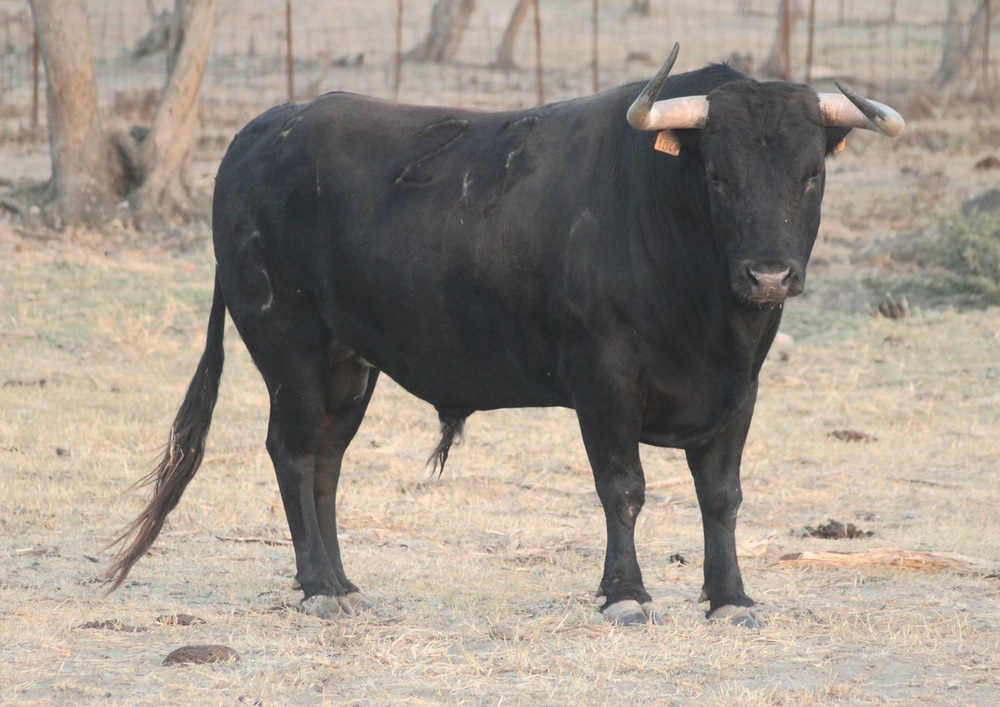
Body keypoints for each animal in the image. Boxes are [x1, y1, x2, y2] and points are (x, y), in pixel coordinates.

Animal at [105, 47, 904, 628]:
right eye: (716, 174)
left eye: (811, 174)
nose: (769, 274)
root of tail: (262, 132)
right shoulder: (604, 381)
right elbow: (623, 488)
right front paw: (626, 594)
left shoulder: (739, 392)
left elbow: (722, 496)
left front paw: (731, 598)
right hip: (289, 345)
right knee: (294, 454)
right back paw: (318, 589)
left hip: (347, 362)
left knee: (326, 461)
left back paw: (343, 582)